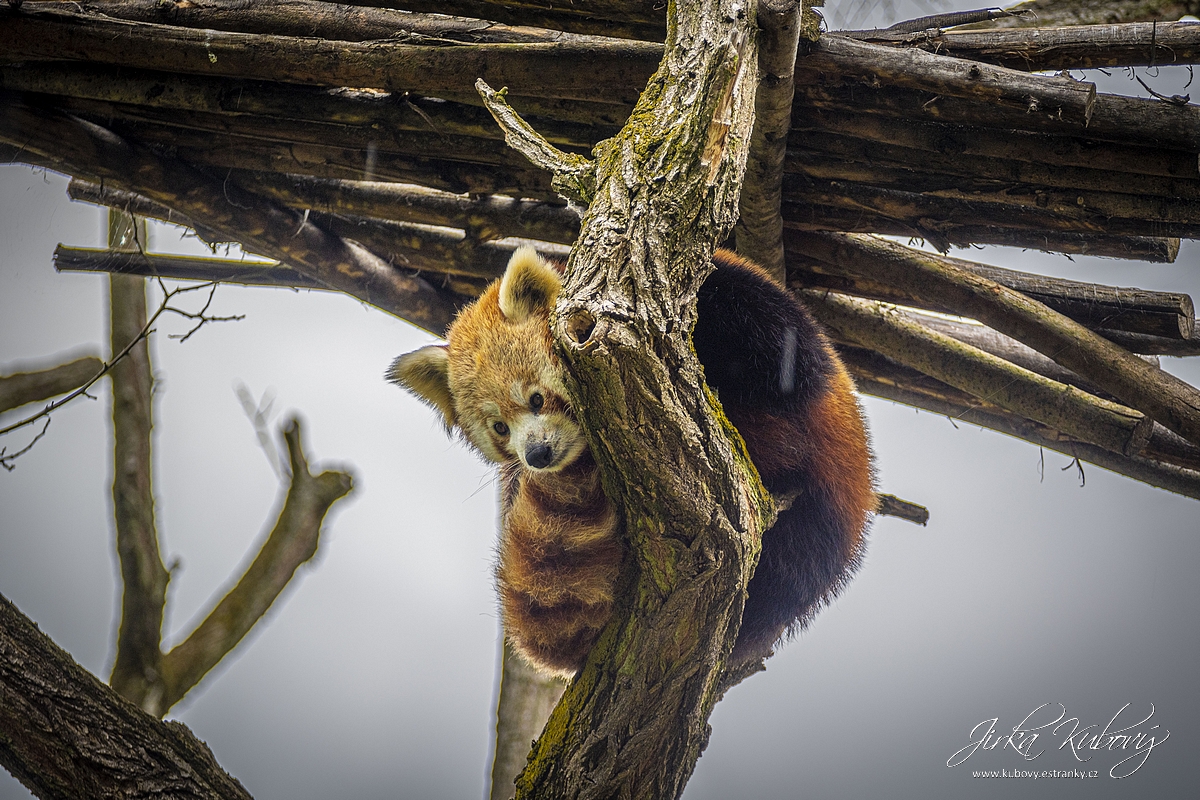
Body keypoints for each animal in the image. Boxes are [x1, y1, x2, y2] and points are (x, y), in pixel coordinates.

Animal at [391, 245, 873, 676]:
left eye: (536, 398)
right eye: (499, 429)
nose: (538, 455)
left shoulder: (734, 296)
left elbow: (790, 362)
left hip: (820, 507)